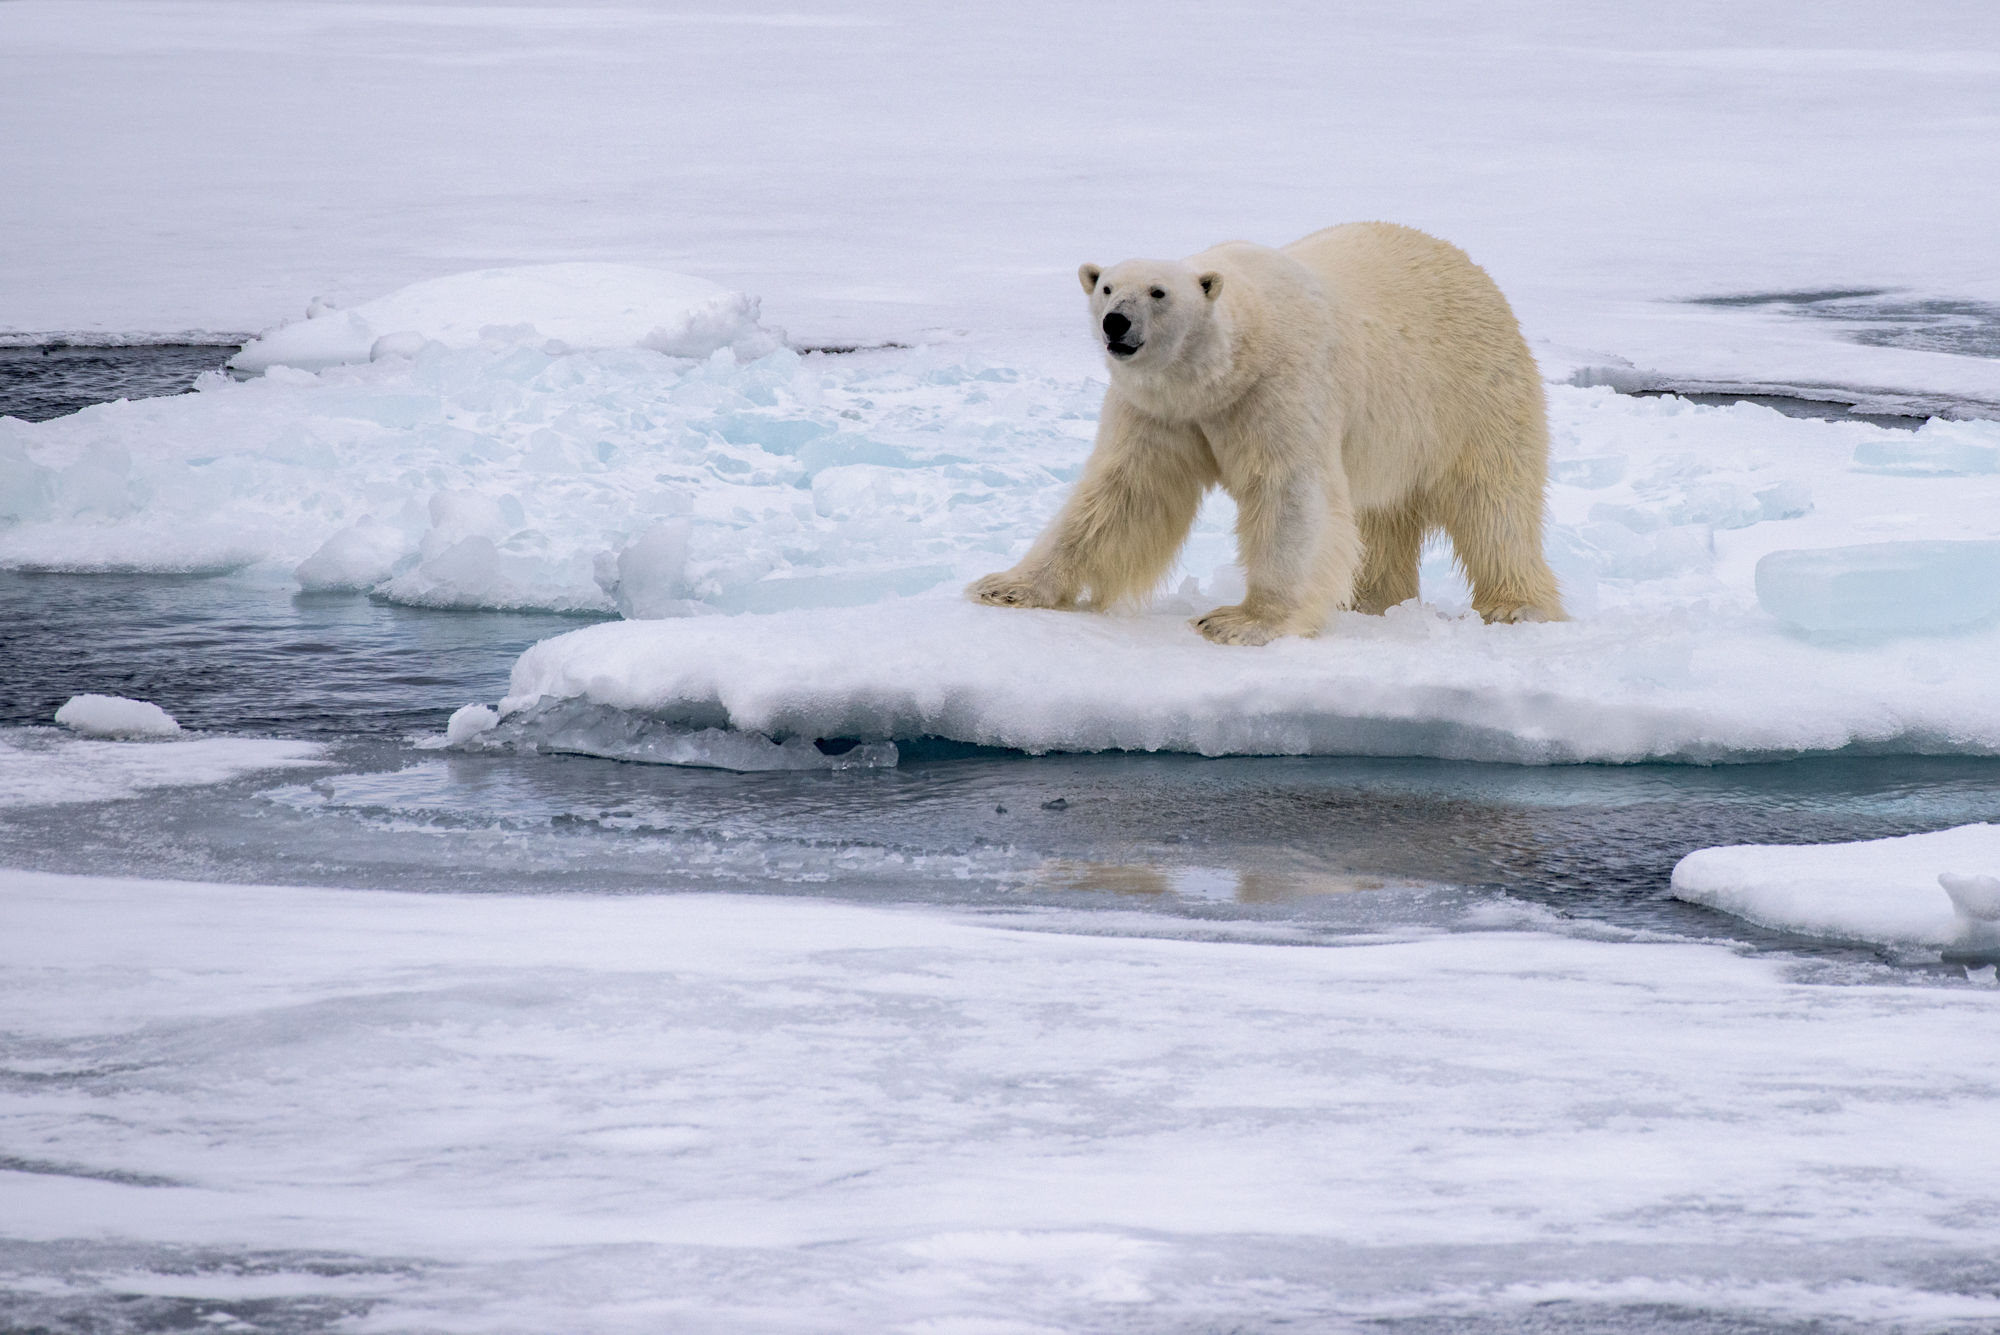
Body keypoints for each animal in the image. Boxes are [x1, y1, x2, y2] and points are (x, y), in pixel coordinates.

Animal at [966, 222, 1565, 645]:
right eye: (1107, 286)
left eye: (1159, 292)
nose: (1117, 321)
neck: (1225, 371)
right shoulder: (1160, 412)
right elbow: (1122, 494)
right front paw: (1004, 586)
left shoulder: (1280, 389)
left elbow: (1291, 495)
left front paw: (1240, 622)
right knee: (1381, 515)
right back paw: (1370, 599)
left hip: (1472, 395)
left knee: (1494, 505)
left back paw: (1517, 605)